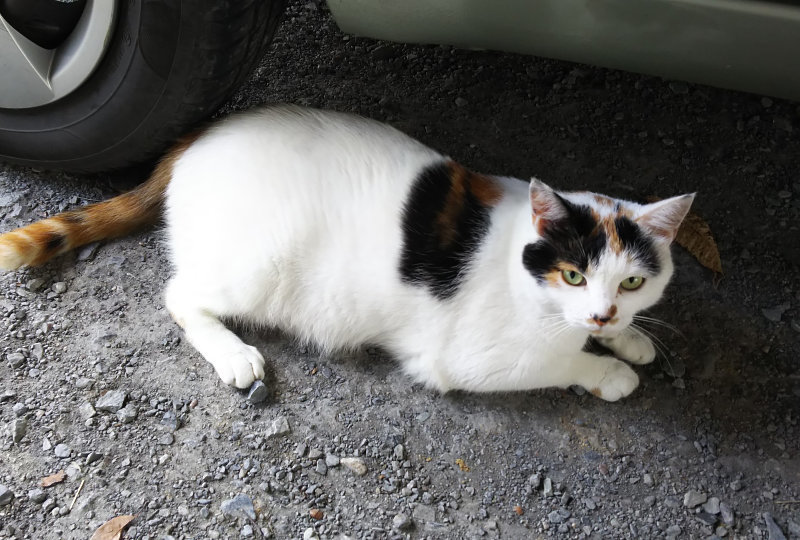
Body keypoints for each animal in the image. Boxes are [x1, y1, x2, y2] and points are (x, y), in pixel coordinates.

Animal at [0, 106, 694, 401]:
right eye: (573, 274)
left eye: (633, 284)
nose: (603, 312)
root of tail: (195, 136)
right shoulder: (466, 359)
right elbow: (560, 361)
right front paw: (609, 371)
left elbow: (598, 336)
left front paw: (629, 338)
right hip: (260, 263)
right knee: (180, 294)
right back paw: (233, 355)